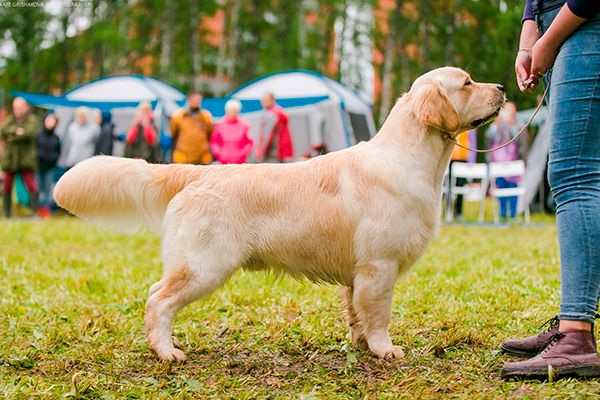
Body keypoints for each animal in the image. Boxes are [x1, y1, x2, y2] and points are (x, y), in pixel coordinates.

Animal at [54, 68, 506, 362]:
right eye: (467, 82)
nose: (503, 87)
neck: (407, 157)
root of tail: (197, 171)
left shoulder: (357, 274)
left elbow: (356, 315)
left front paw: (361, 346)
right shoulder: (379, 267)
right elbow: (378, 315)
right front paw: (385, 350)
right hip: (204, 265)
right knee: (158, 301)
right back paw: (167, 352)